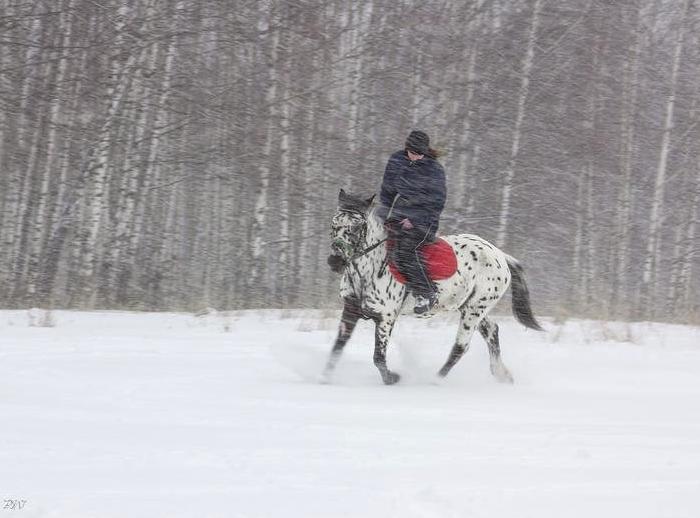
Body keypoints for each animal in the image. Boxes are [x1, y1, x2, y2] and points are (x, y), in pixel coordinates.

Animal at [320, 190, 544, 386]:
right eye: (334, 224)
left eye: (357, 227)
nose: (335, 261)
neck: (369, 271)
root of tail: (500, 256)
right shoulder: (351, 311)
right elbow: (337, 347)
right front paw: (324, 378)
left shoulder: (385, 318)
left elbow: (378, 357)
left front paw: (393, 378)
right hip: (470, 307)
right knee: (492, 331)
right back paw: (502, 375)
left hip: (474, 310)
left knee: (461, 347)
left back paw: (434, 381)